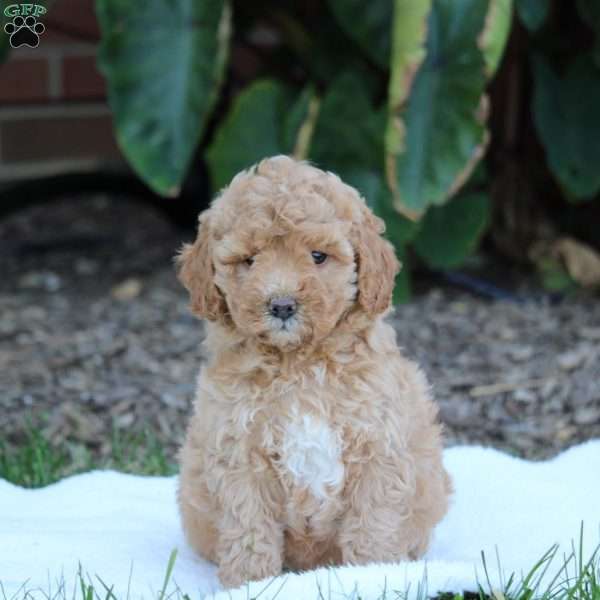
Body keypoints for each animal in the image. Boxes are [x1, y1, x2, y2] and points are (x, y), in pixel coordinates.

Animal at [176, 155, 452, 584]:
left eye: (318, 256)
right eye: (249, 260)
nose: (282, 304)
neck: (299, 364)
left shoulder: (378, 447)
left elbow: (373, 523)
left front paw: (374, 576)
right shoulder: (238, 450)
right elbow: (249, 527)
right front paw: (250, 584)